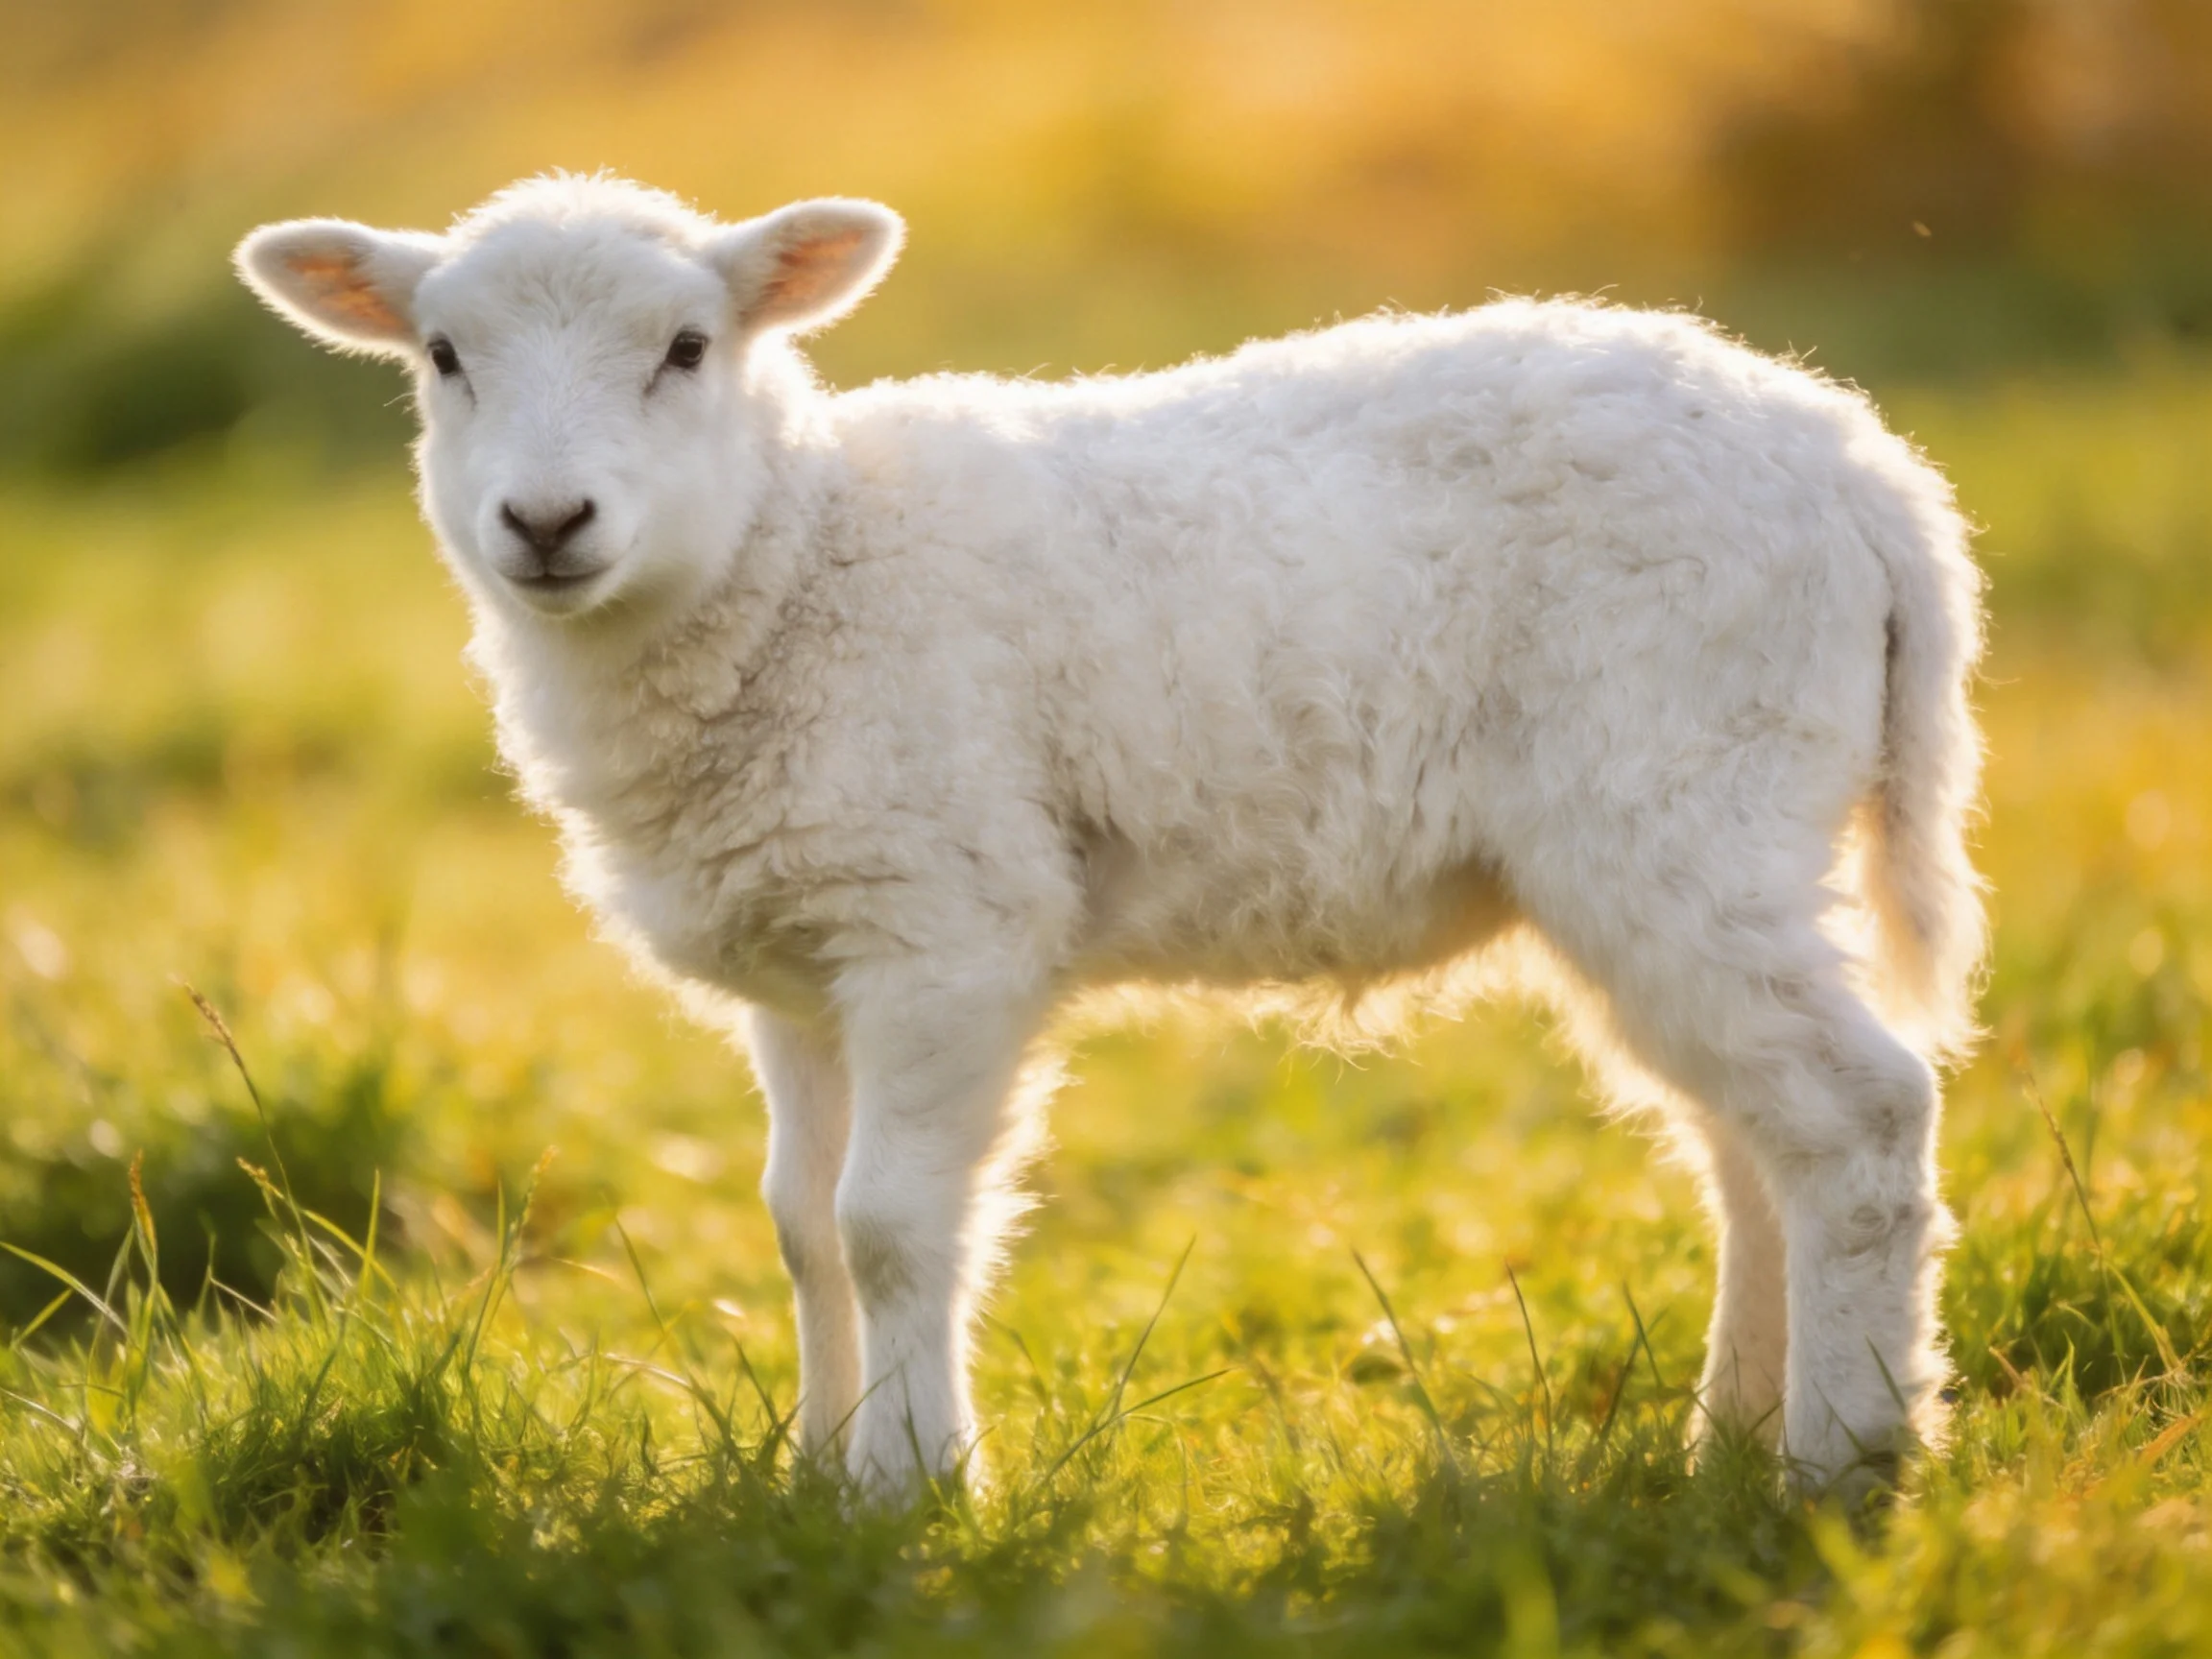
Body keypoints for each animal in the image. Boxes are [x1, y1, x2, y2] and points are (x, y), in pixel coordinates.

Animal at [235, 172, 1986, 1504]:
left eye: (685, 346)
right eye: (442, 355)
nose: (545, 524)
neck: (797, 564)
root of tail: (1870, 473)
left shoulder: (944, 922)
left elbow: (889, 1226)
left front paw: (910, 1487)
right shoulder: (801, 952)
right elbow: (800, 1230)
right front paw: (808, 1473)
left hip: (1680, 794)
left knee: (1857, 1119)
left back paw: (1840, 1458)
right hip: (1708, 841)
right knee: (1750, 1139)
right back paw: (1734, 1434)